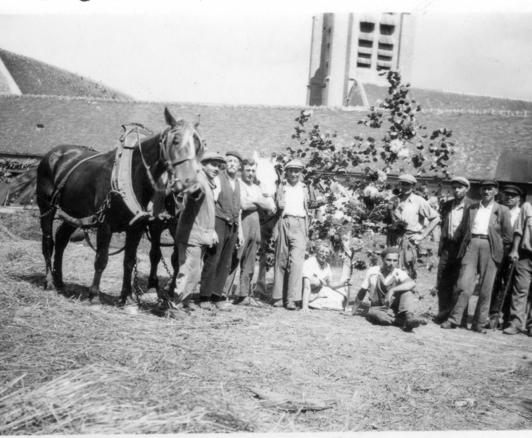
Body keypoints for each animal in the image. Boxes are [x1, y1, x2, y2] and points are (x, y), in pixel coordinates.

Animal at [30, 108, 204, 306]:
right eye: (175, 141)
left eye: (198, 145)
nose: (191, 184)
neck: (132, 175)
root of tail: (54, 153)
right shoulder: (105, 225)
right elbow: (102, 259)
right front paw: (94, 295)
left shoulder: (136, 228)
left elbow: (129, 260)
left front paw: (127, 296)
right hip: (46, 208)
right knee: (48, 242)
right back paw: (50, 282)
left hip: (74, 212)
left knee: (61, 239)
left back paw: (59, 281)